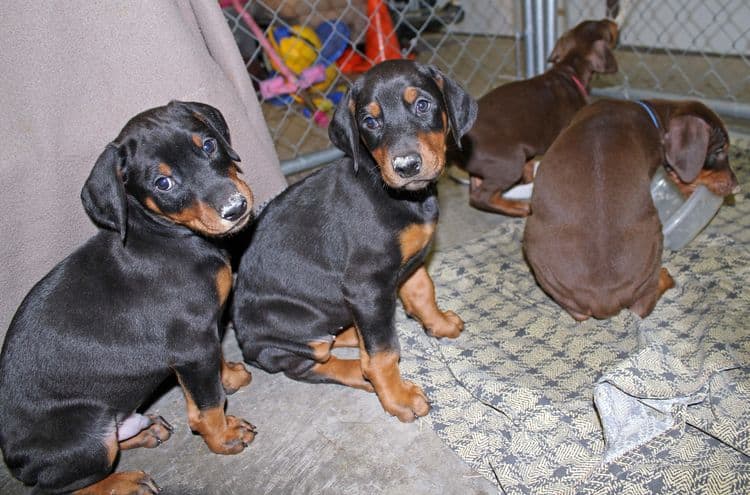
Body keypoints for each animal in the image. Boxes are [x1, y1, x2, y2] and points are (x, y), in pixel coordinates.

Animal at [0, 101, 258, 495]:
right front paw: (224, 437)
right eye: (163, 183)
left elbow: (210, 373)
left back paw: (147, 432)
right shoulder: (192, 344)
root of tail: (15, 460)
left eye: (209, 145)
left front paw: (228, 375)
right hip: (88, 438)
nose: (235, 207)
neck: (165, 235)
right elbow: (207, 404)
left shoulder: (199, 341)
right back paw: (126, 482)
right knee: (57, 487)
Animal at [232, 59, 478, 422]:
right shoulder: (366, 285)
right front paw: (398, 397)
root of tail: (245, 342)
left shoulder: (411, 261)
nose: (406, 166)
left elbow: (423, 292)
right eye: (369, 121)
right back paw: (362, 373)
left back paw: (353, 337)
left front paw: (439, 324)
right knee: (311, 363)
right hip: (294, 330)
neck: (399, 195)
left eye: (423, 105)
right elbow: (384, 351)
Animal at [462, 18, 620, 216]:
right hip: (510, 161)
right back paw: (519, 208)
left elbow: (529, 167)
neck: (570, 72)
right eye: (606, 28)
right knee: (480, 197)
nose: (613, 22)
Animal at [524, 98, 744, 322]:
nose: (736, 186)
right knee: (641, 307)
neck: (652, 115)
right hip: (655, 235)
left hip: (534, 247)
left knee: (579, 314)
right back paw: (665, 277)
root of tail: (604, 300)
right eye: (719, 150)